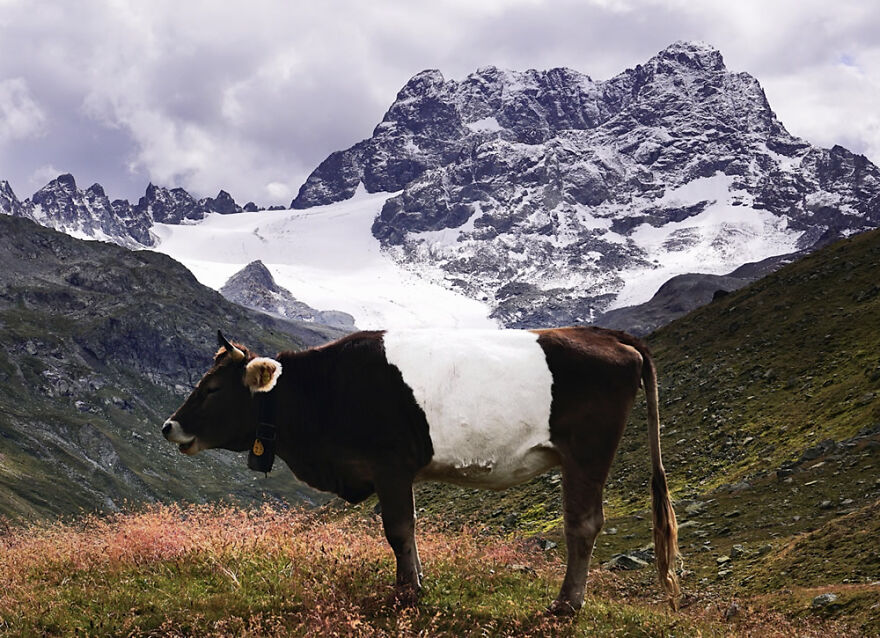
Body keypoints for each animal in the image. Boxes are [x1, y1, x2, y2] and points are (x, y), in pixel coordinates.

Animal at [162, 327, 680, 614]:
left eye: (212, 388)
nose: (169, 426)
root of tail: (607, 335)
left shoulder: (390, 463)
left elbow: (398, 529)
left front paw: (406, 593)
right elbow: (407, 530)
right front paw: (415, 582)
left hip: (587, 454)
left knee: (583, 524)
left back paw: (566, 604)